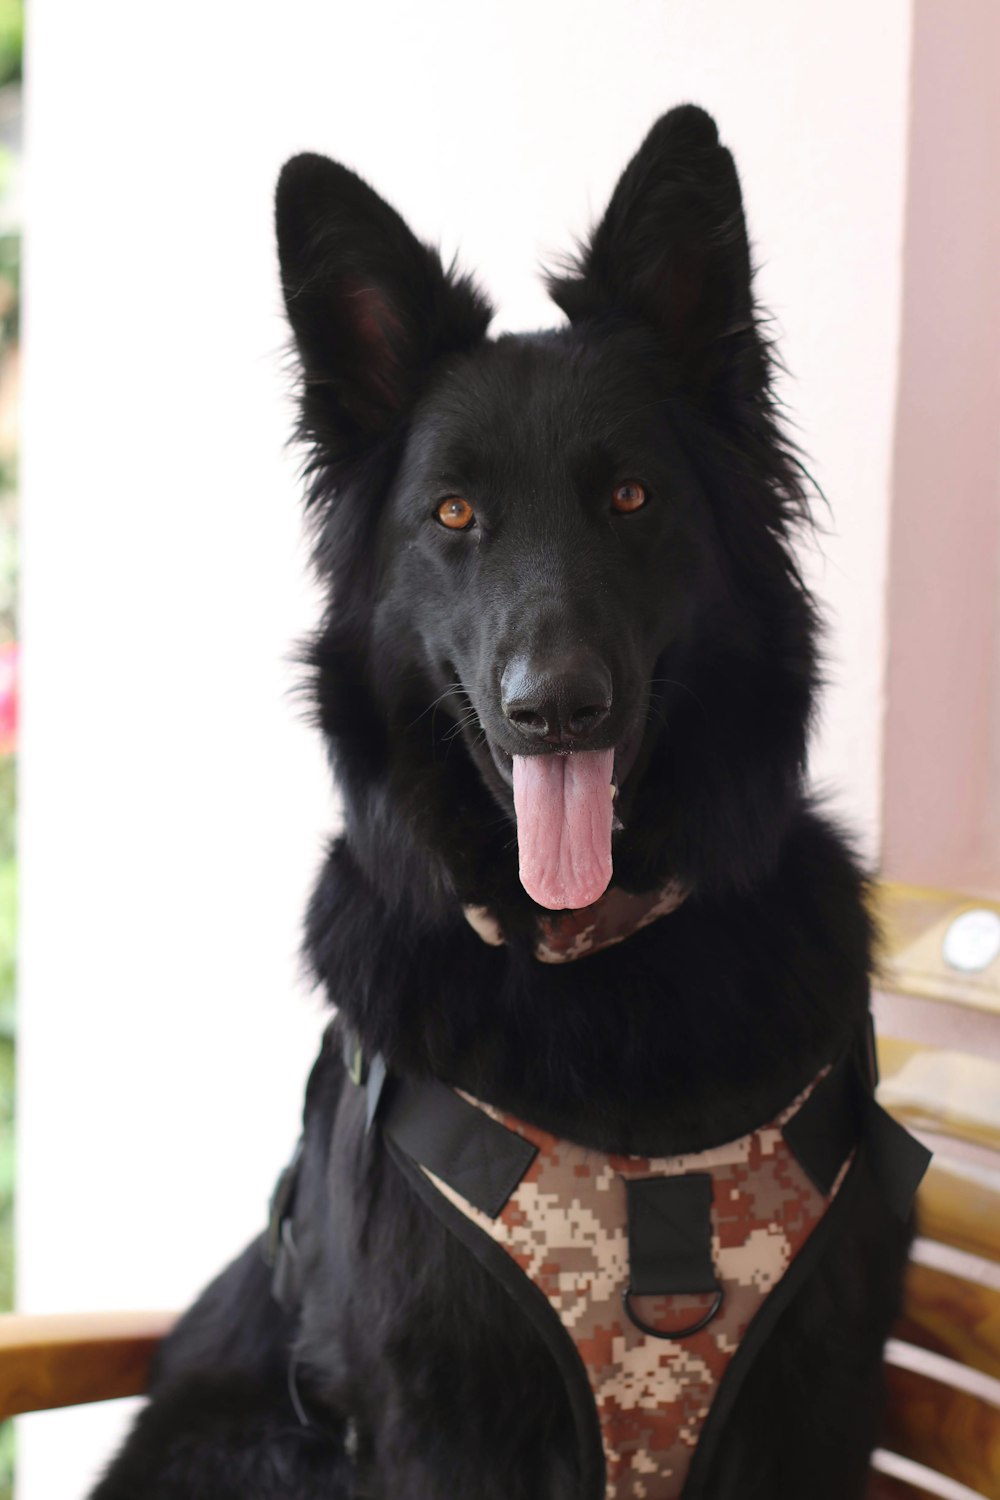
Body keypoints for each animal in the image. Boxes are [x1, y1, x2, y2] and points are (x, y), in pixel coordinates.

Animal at [91, 105, 923, 1500]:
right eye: (454, 513)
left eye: (631, 497)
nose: (556, 709)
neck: (596, 958)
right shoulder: (441, 1413)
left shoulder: (818, 1396)